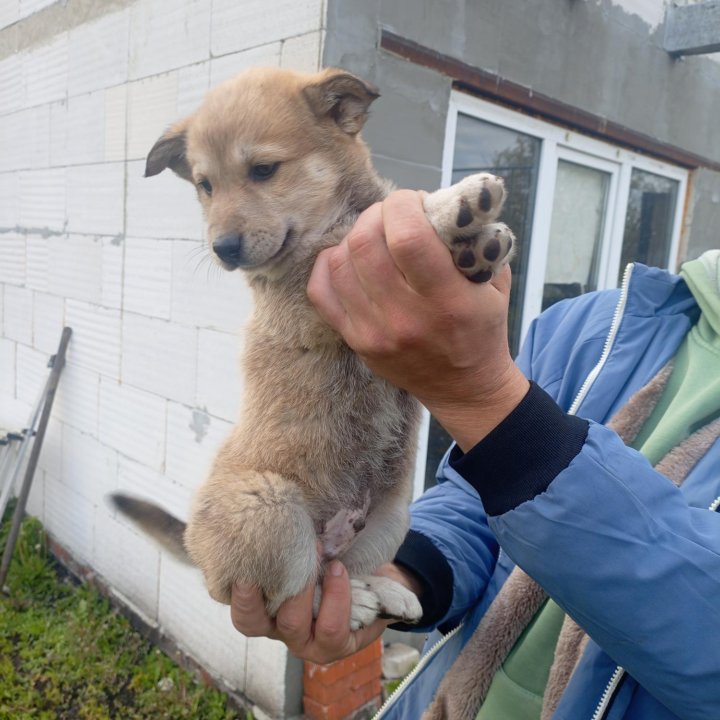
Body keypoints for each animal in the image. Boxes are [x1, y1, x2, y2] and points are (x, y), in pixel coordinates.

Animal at [109, 67, 516, 632]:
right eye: (205, 186)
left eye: (263, 170)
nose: (223, 249)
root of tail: (197, 550)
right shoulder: (311, 288)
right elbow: (357, 233)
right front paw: (451, 205)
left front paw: (476, 248)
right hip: (272, 508)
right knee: (295, 594)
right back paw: (348, 606)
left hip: (391, 518)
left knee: (341, 569)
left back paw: (386, 593)